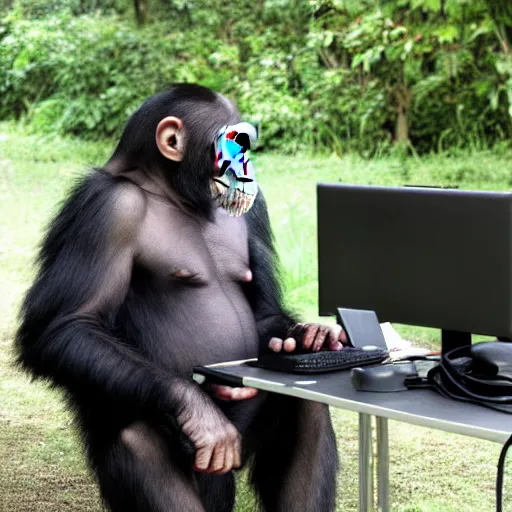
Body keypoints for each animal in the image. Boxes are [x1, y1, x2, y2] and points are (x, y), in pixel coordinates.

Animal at [16, 84, 344, 512]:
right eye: (236, 142)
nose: (250, 166)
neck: (169, 191)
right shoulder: (106, 210)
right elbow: (67, 323)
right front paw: (196, 411)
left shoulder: (256, 211)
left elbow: (264, 314)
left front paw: (307, 337)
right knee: (138, 438)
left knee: (306, 408)